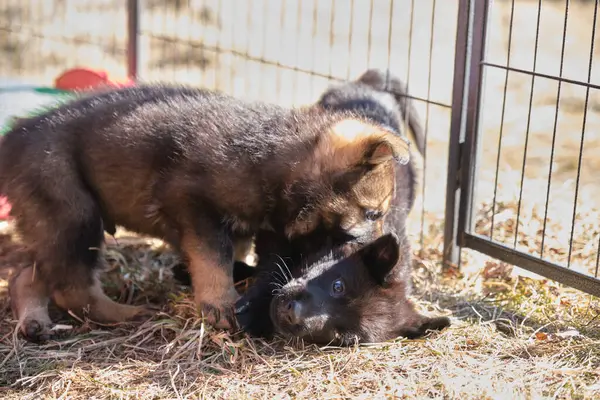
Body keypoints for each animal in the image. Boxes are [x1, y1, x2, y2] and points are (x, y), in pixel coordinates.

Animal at [0, 84, 410, 340]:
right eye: (373, 214)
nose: (391, 251)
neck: (276, 159)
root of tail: (14, 140)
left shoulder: (243, 227)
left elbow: (235, 257)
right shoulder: (194, 206)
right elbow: (214, 258)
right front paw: (221, 304)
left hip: (49, 222)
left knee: (27, 274)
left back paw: (35, 322)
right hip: (73, 211)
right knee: (71, 286)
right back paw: (125, 314)